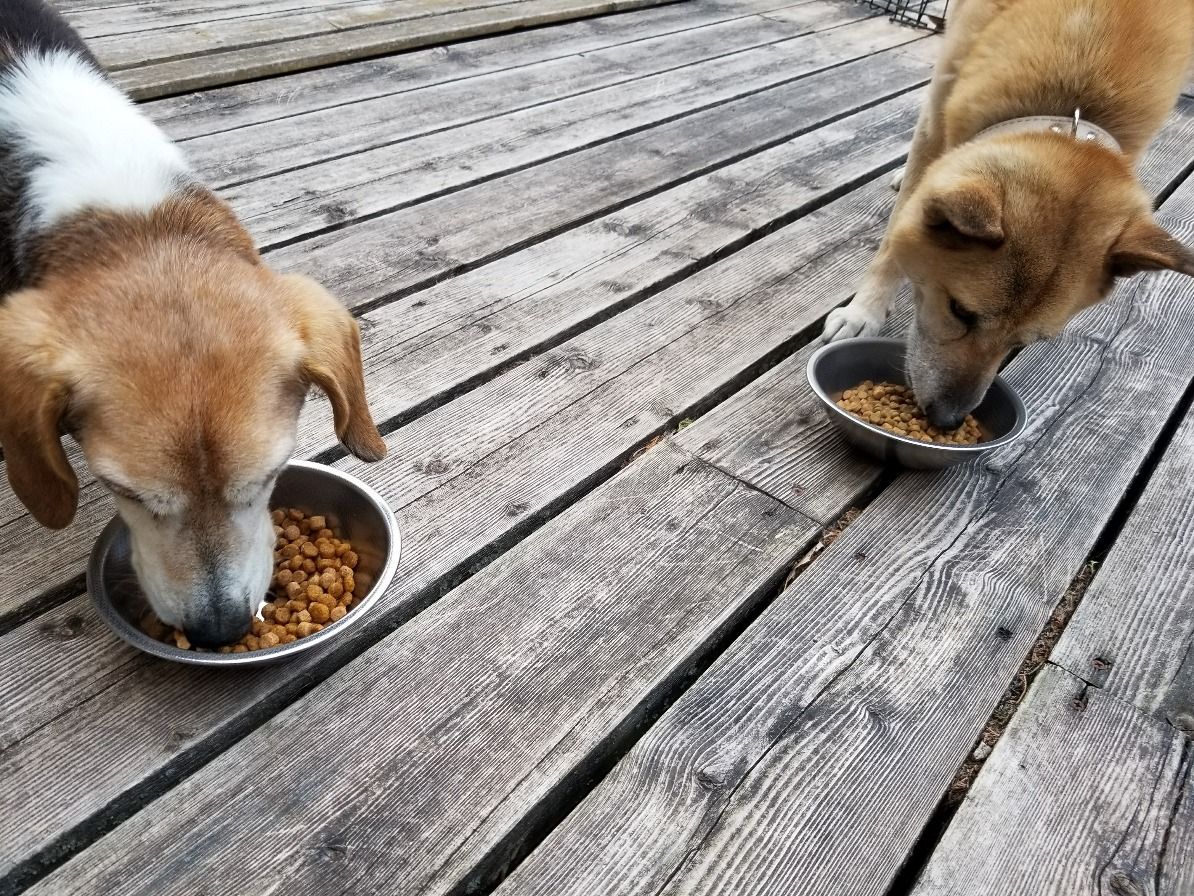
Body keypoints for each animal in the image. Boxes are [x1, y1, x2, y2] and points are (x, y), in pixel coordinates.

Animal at [821, 0, 1194, 429]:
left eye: (1028, 341)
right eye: (960, 312)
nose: (948, 421)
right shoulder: (939, 108)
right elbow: (894, 237)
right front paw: (862, 311)